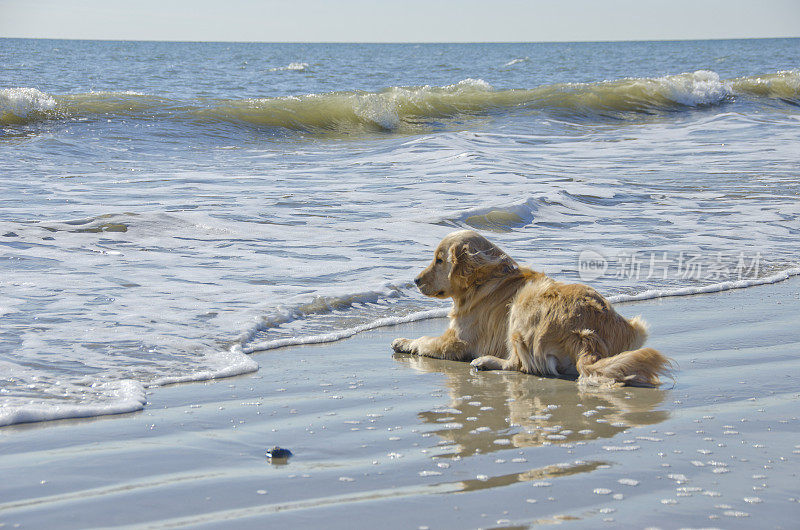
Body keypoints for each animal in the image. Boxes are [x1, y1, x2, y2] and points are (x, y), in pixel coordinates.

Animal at [390, 229, 672, 386]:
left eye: (439, 260)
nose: (415, 280)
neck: (484, 281)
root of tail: (585, 333)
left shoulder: (456, 340)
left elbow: (424, 340)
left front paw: (403, 341)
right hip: (637, 329)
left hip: (522, 304)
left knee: (519, 365)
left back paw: (485, 361)